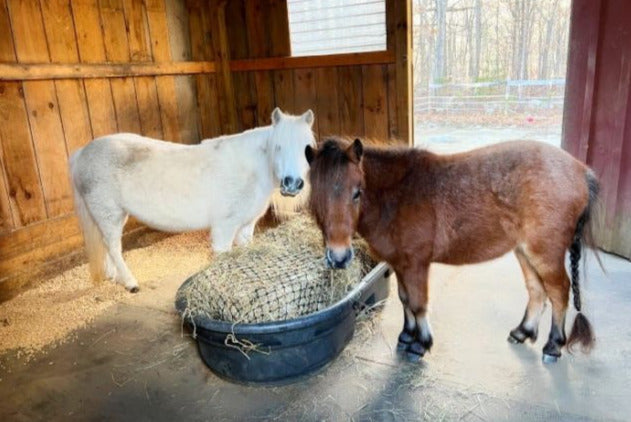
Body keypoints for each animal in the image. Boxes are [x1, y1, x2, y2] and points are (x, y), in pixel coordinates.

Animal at [69, 107, 316, 292]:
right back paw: (130, 283)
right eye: (278, 146)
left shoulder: (245, 226)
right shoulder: (224, 227)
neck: (251, 168)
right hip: (108, 214)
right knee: (113, 246)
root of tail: (82, 153)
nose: (291, 183)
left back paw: (114, 276)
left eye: (307, 148)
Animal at [306, 138, 596, 362]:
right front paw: (406, 335)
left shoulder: (416, 264)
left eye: (357, 192)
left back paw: (553, 346)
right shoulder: (400, 264)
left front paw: (420, 344)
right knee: (537, 291)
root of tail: (582, 171)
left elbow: (418, 303)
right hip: (525, 252)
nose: (339, 257)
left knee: (559, 292)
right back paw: (522, 332)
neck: (398, 195)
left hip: (545, 254)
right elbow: (404, 299)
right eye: (315, 197)